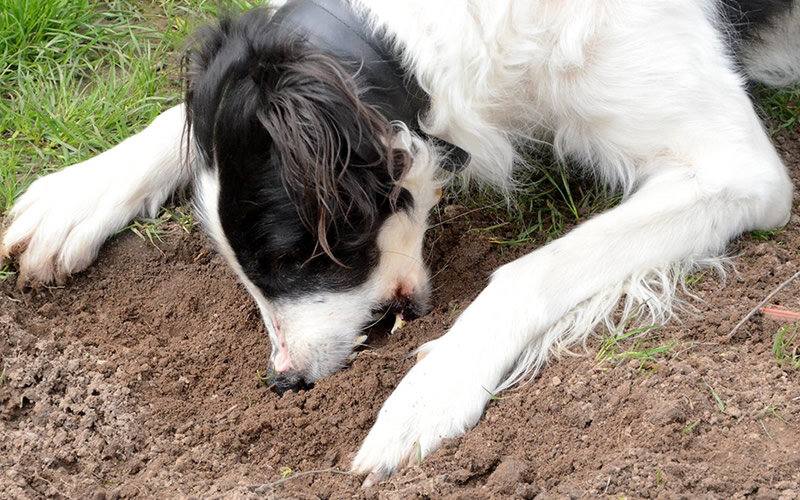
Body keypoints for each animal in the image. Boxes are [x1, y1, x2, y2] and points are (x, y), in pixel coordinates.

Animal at [1, 0, 800, 484]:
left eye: (291, 257)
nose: (283, 382)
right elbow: (185, 122)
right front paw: (76, 195)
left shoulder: (735, 169)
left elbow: (527, 272)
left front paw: (426, 394)